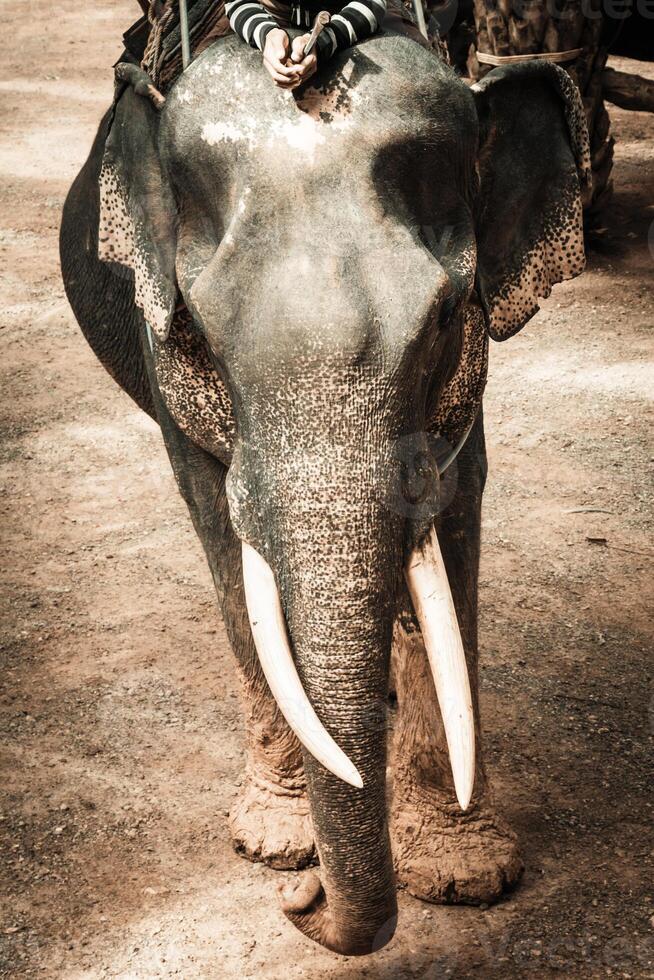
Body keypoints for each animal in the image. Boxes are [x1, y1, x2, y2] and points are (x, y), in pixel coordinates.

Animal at [60, 32, 596, 956]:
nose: (302, 900)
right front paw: (278, 843)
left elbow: (454, 520)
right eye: (203, 327)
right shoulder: (164, 361)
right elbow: (222, 538)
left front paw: (463, 874)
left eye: (446, 318)